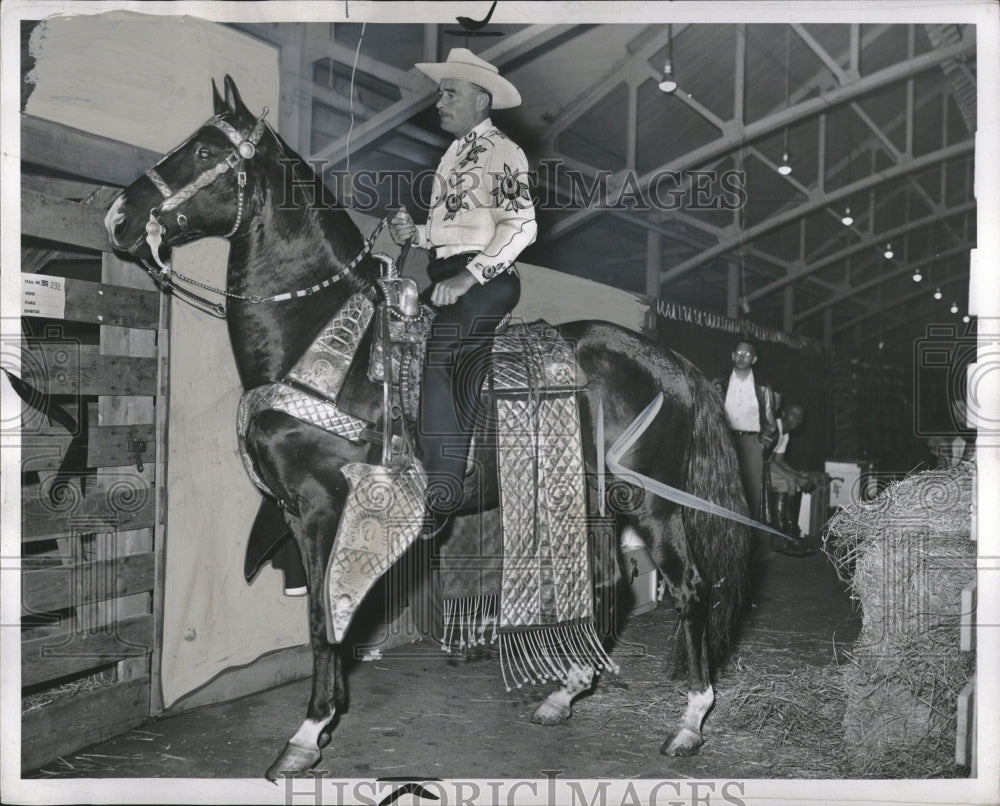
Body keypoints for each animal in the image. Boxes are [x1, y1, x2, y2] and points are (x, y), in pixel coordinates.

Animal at [107, 77, 752, 784]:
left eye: (202, 152)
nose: (118, 216)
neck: (324, 339)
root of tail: (672, 363)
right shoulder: (299, 510)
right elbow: (325, 611)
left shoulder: (323, 506)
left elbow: (325, 614)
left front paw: (308, 732)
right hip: (590, 498)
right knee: (610, 582)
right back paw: (564, 693)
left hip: (653, 501)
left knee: (690, 588)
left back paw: (689, 722)